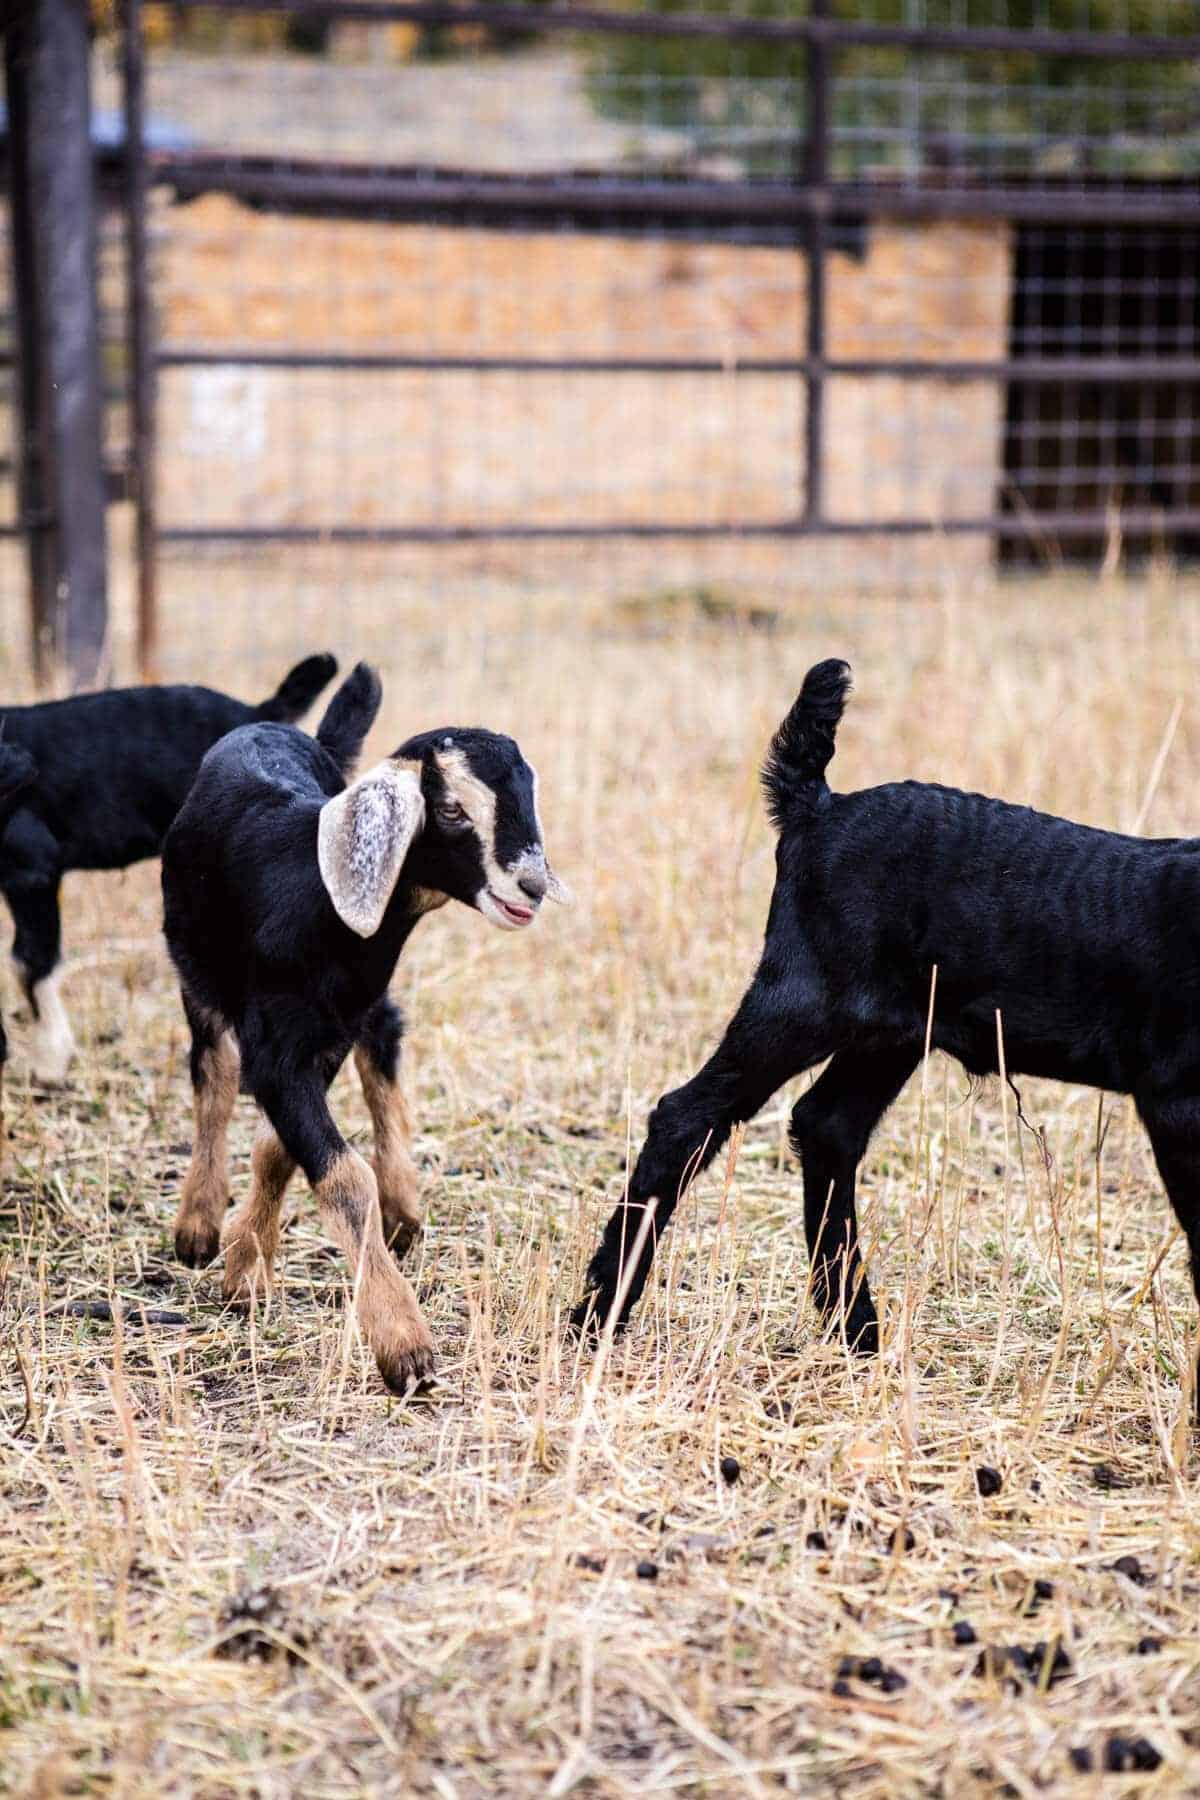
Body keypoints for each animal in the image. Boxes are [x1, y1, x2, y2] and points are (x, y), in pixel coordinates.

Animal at [162, 661, 568, 1393]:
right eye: (453, 809)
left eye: (526, 797)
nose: (530, 886)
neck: (316, 899)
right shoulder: (277, 1049)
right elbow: (342, 1176)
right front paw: (404, 1344)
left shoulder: (326, 1036)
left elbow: (281, 1149)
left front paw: (247, 1265)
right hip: (196, 972)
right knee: (213, 1073)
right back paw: (198, 1222)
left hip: (357, 1013)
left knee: (383, 1046)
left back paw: (402, 1206)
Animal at [573, 658, 1200, 1415]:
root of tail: (818, 806)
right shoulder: (1176, 1099)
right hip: (805, 995)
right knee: (688, 1116)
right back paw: (598, 1314)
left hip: (891, 1031)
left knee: (826, 1125)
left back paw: (857, 1330)